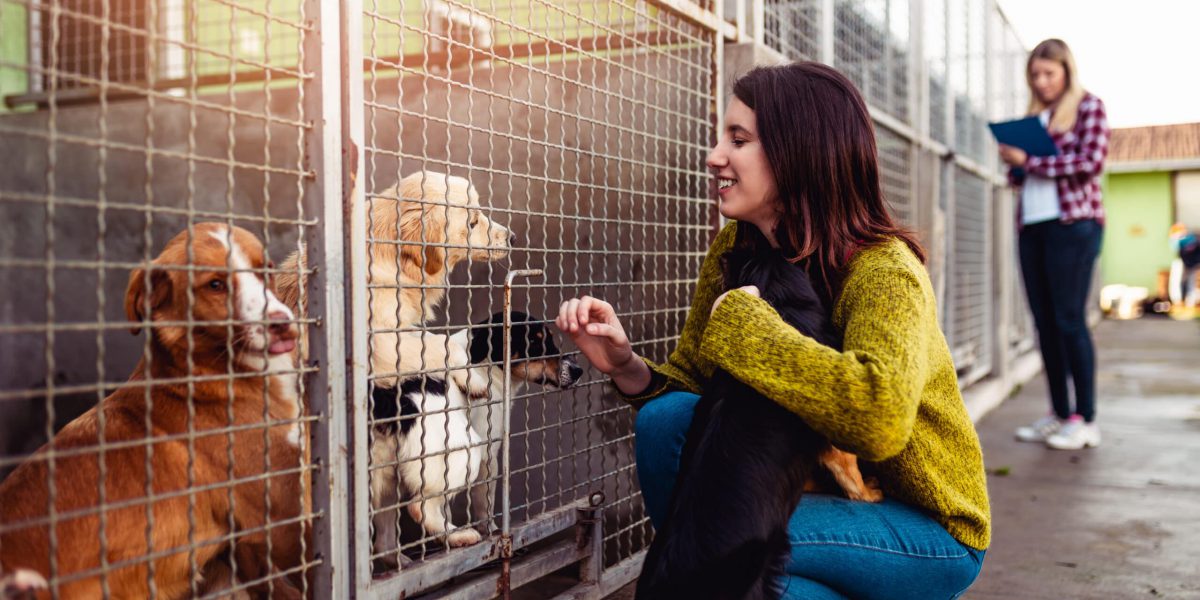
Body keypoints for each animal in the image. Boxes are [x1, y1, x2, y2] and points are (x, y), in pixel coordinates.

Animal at [372, 314, 583, 566]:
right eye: (534, 341)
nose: (578, 370)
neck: (485, 365)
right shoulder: (488, 455)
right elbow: (485, 505)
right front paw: (493, 534)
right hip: (463, 452)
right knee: (419, 507)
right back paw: (458, 536)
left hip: (386, 481)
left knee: (384, 542)